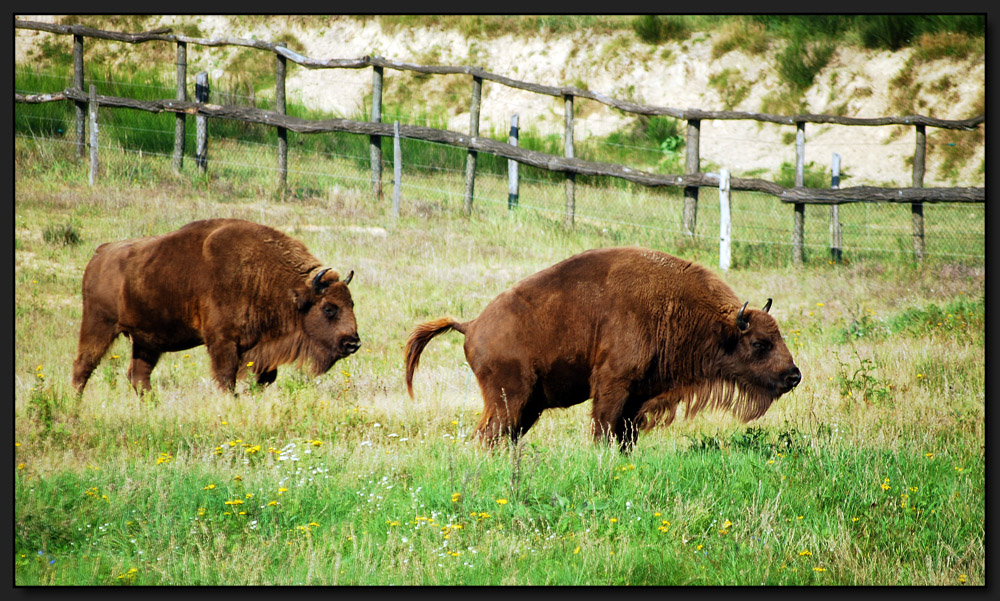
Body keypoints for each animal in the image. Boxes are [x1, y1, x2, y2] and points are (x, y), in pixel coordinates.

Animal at [75, 218, 364, 392]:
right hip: (98, 326)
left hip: (146, 341)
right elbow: (227, 379)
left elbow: (264, 379)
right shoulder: (223, 342)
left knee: (138, 376)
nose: (353, 343)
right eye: (329, 308)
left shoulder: (261, 351)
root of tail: (100, 254)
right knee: (83, 367)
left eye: (352, 304)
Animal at [402, 245, 800, 450]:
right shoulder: (613, 385)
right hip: (508, 400)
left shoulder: (638, 396)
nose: (793, 375)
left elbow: (626, 435)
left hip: (528, 406)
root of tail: (471, 325)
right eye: (760, 343)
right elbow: (603, 428)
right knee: (488, 435)